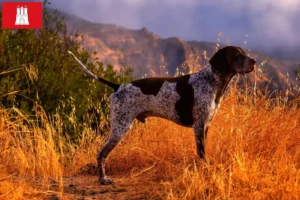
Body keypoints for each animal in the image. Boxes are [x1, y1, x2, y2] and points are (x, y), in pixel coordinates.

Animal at [68, 46, 255, 185]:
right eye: (236, 54)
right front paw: (204, 171)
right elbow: (201, 153)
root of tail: (118, 86)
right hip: (120, 127)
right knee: (101, 154)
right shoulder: (199, 126)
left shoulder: (205, 126)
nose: (254, 61)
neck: (211, 81)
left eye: (244, 52)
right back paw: (103, 179)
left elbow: (203, 152)